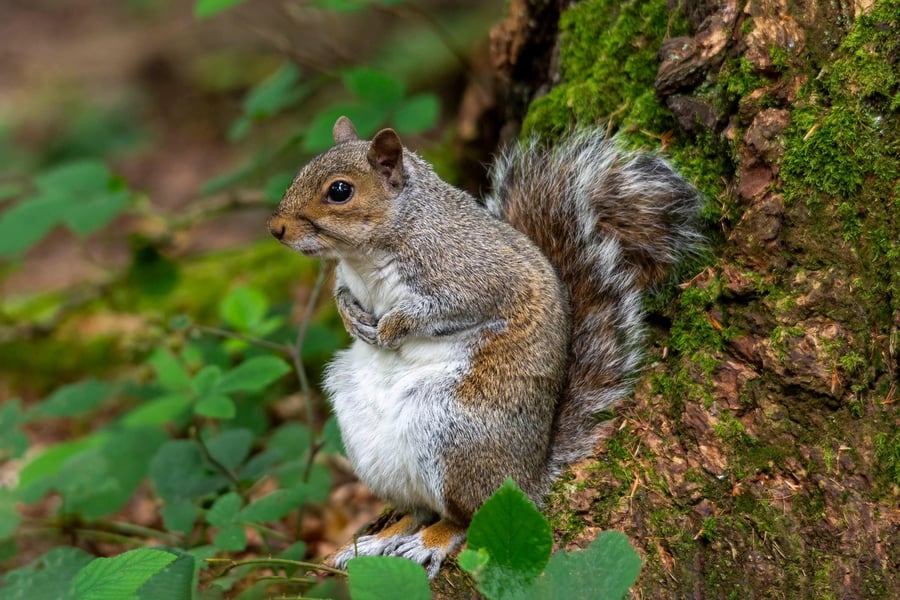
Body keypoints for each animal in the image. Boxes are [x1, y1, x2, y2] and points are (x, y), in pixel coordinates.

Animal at [267, 116, 702, 577]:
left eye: (340, 191)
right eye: (301, 171)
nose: (275, 228)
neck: (366, 255)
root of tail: (528, 475)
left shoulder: (474, 275)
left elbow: (440, 308)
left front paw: (391, 328)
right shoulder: (349, 277)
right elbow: (340, 293)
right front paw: (352, 316)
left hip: (453, 434)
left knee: (466, 516)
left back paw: (430, 542)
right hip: (372, 448)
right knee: (418, 509)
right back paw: (379, 539)